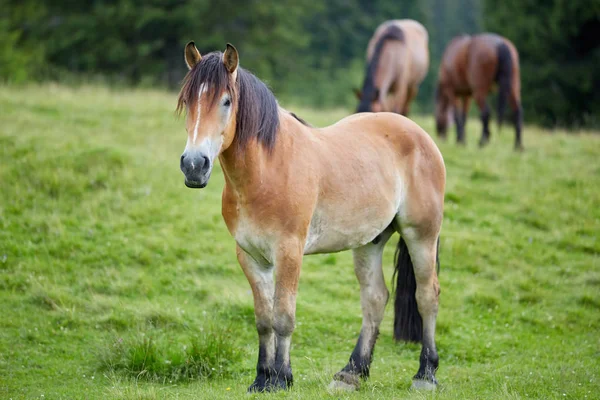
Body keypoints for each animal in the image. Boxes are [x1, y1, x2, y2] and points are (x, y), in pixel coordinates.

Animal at [178, 42, 446, 392]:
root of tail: (420, 135)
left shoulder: (289, 252)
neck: (266, 170)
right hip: (370, 241)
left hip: (422, 235)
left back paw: (425, 374)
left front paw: (281, 377)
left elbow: (283, 317)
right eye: (187, 101)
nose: (194, 165)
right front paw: (262, 378)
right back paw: (351, 372)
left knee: (427, 296)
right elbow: (263, 319)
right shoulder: (250, 256)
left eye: (226, 101)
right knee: (375, 298)